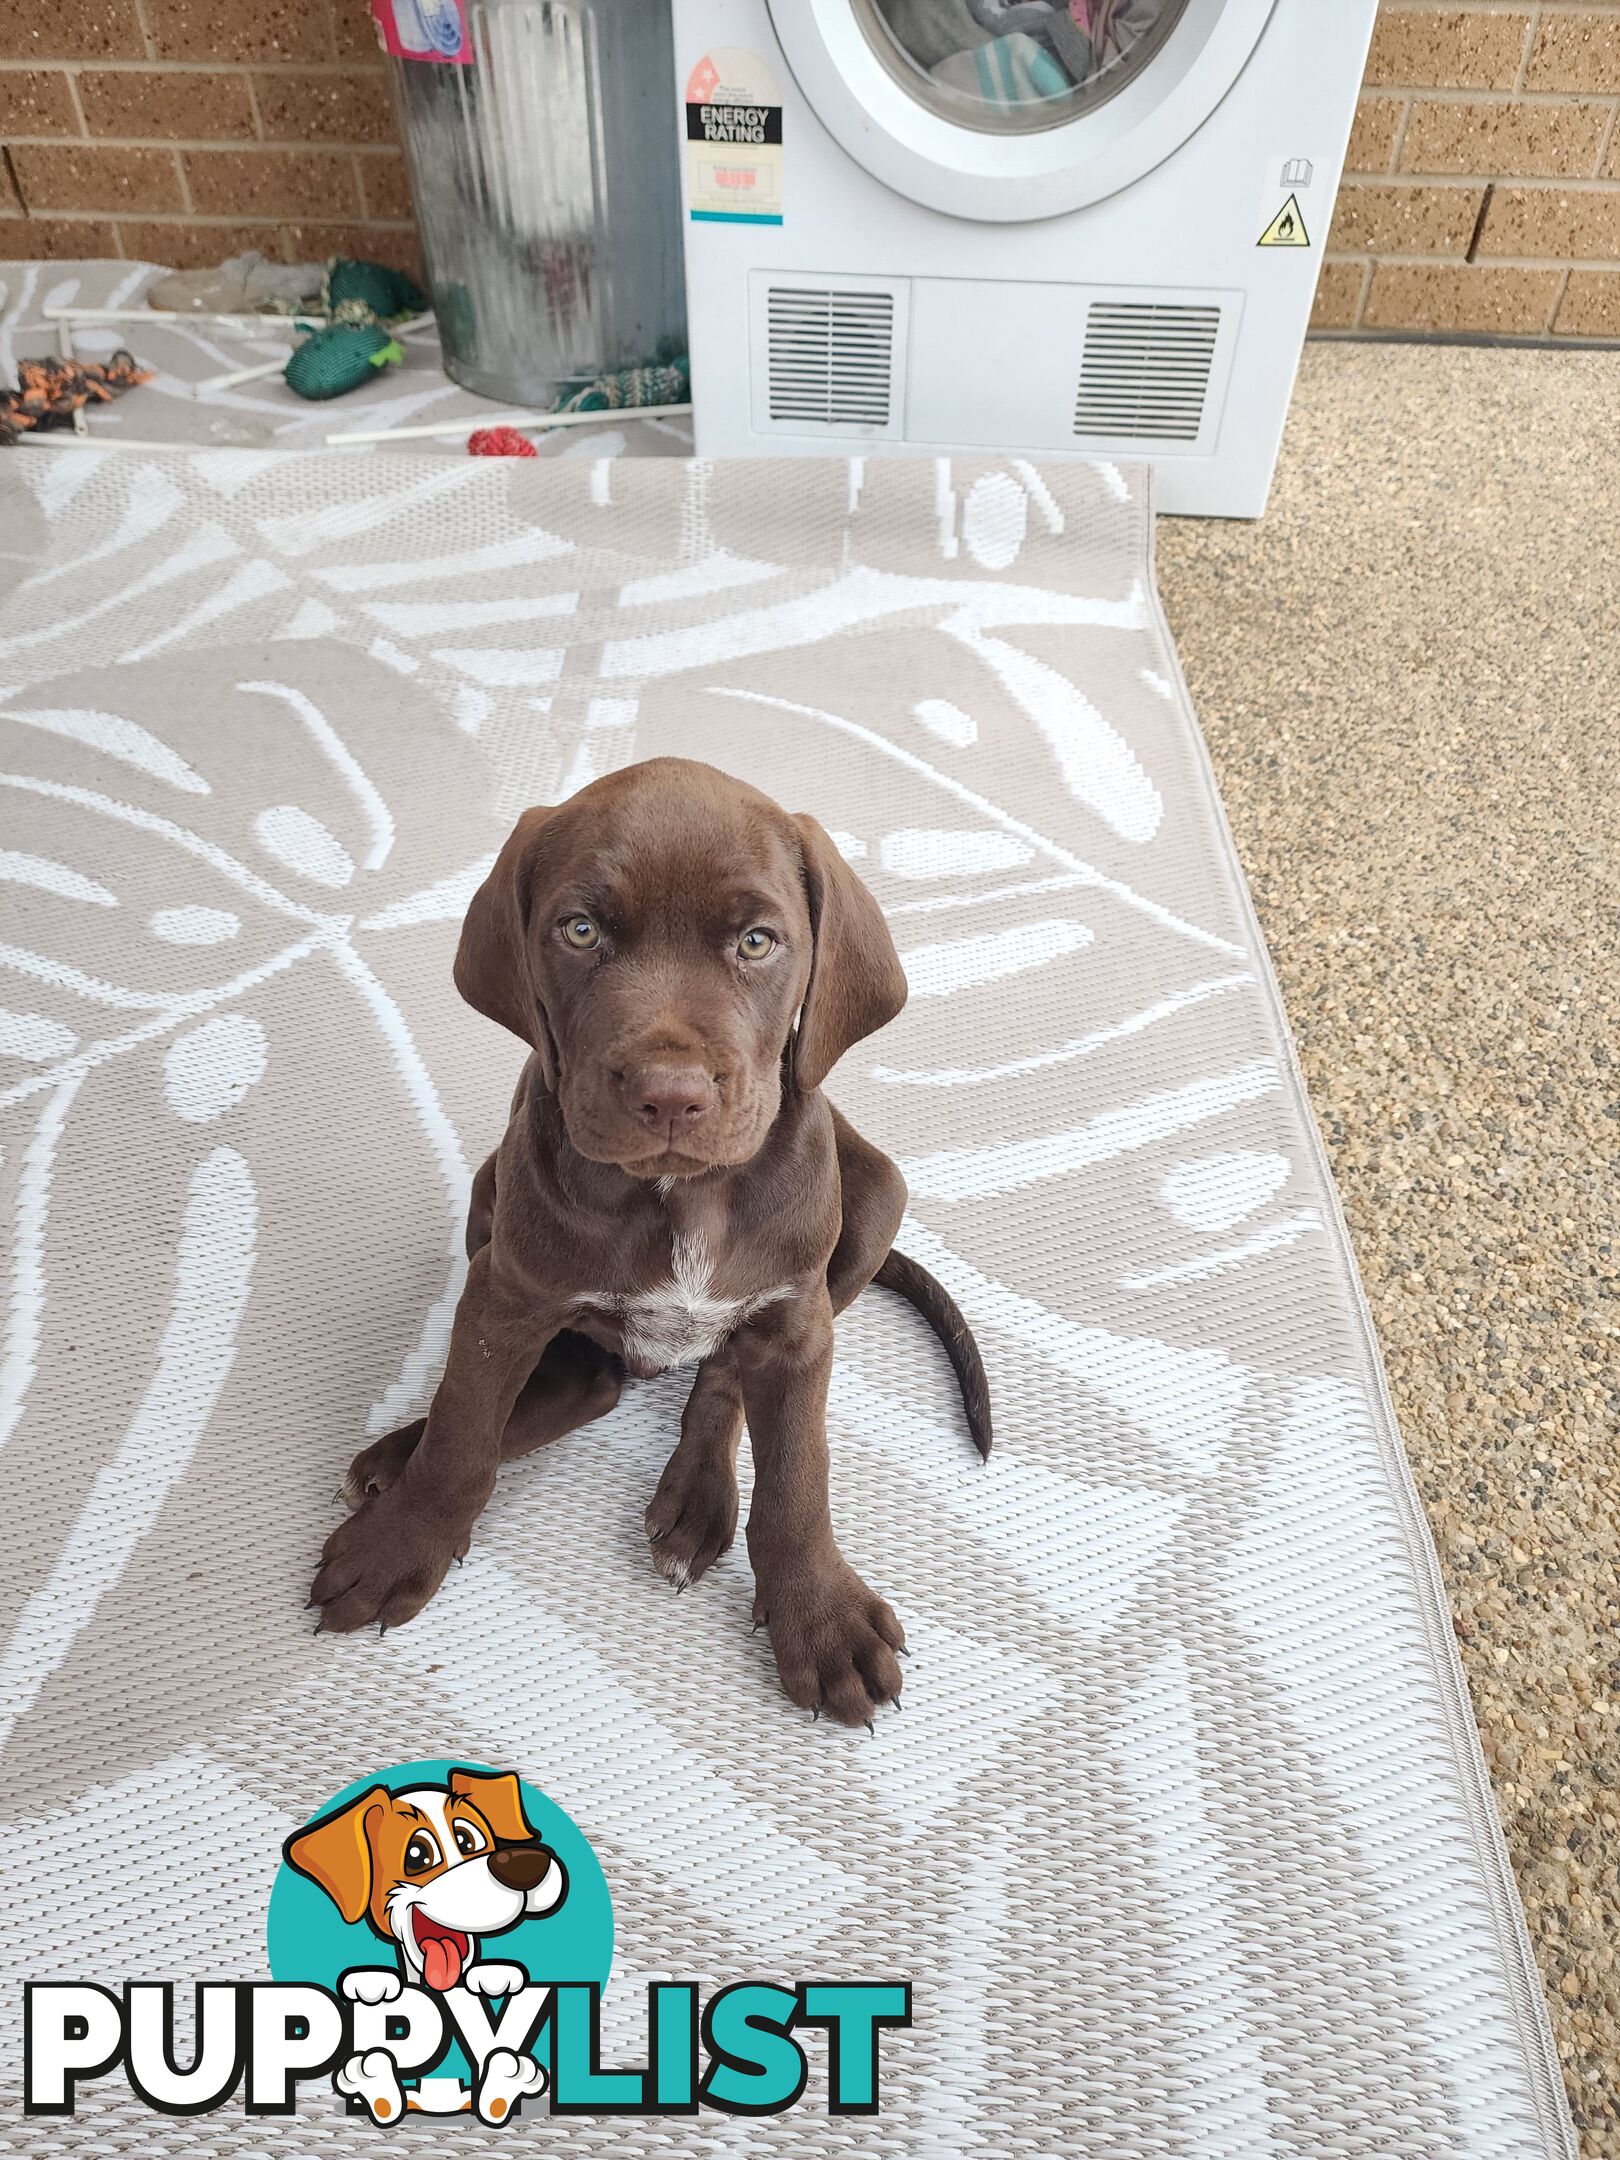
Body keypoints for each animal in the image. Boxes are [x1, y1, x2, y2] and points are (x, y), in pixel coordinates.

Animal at [304, 751, 989, 1728]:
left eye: (757, 943)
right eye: (581, 931)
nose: (671, 1095)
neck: (681, 1195)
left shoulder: (799, 1326)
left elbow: (798, 1476)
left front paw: (818, 1616)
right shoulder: (505, 1296)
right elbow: (465, 1427)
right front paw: (403, 1536)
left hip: (873, 1204)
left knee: (721, 1376)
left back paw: (696, 1499)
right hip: (491, 1197)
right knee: (583, 1384)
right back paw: (396, 1458)